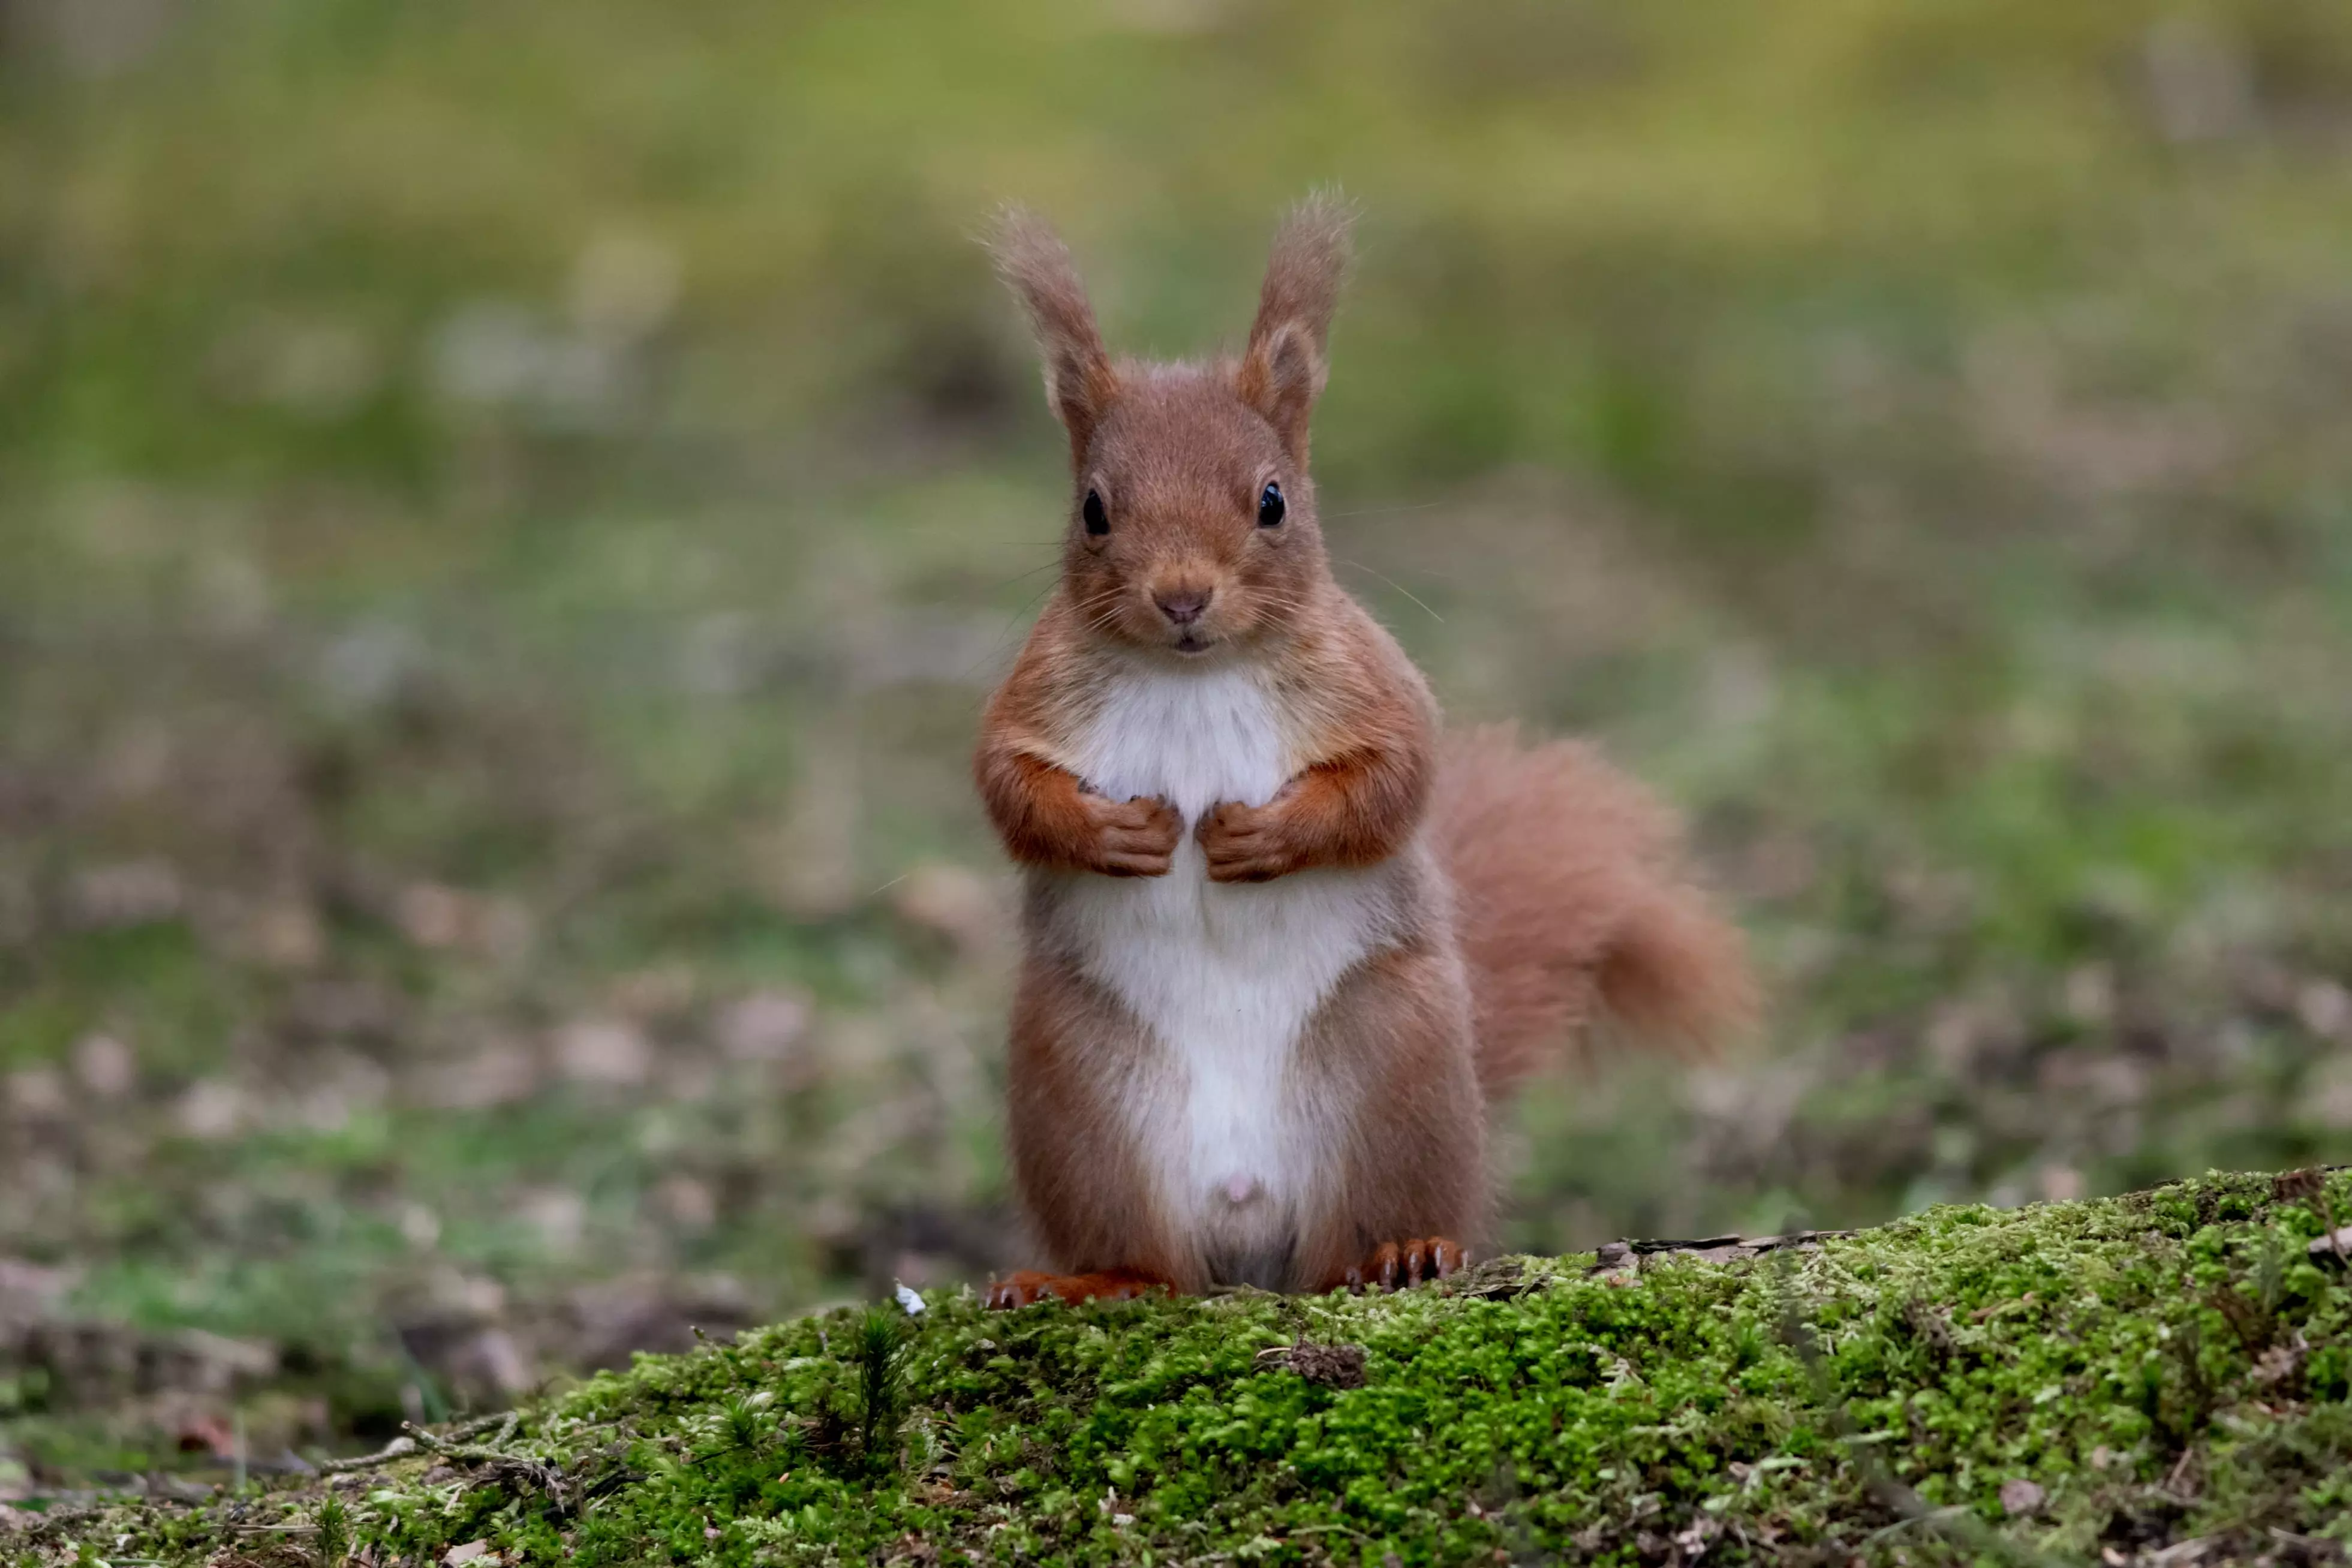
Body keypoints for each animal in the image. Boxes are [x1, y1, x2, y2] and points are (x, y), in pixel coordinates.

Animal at [964, 200, 1759, 1316]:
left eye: (1271, 500)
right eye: (1092, 508)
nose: (1181, 595)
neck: (1195, 673)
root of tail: (1247, 1233)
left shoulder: (1374, 684)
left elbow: (1394, 781)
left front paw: (1260, 837)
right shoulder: (1035, 694)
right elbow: (1006, 785)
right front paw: (1116, 833)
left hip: (1394, 1071)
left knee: (1363, 1231)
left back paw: (1401, 1253)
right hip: (1077, 1098)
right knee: (1150, 1261)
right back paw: (1082, 1279)